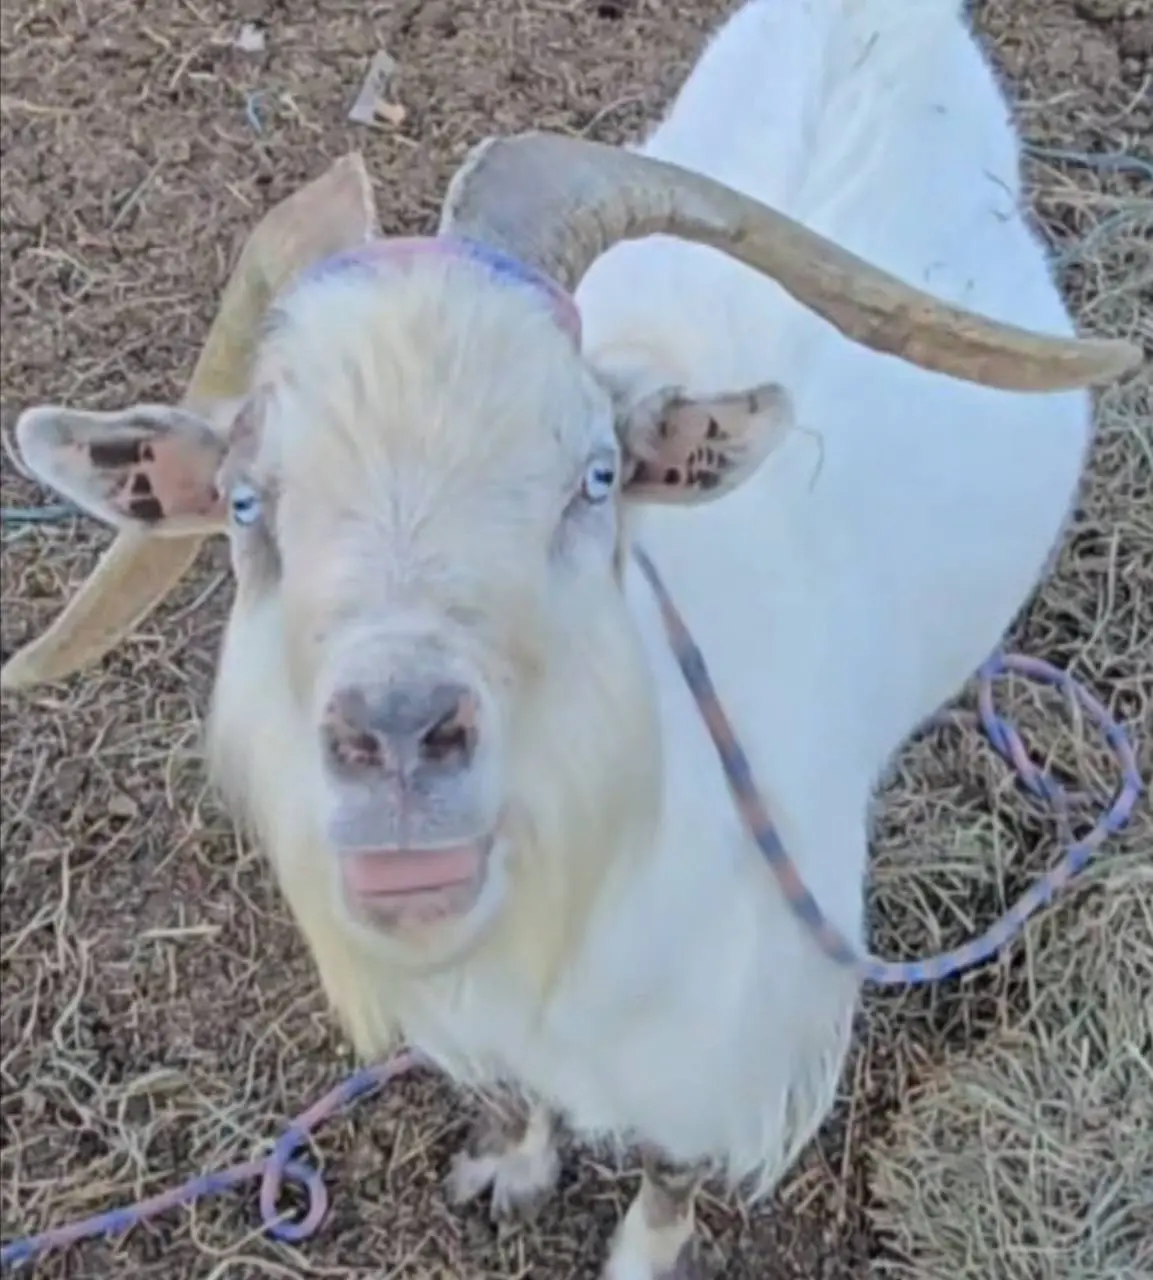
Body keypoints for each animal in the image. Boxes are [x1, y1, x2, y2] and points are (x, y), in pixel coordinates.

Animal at [6, 2, 1141, 1275]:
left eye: (595, 475)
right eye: (247, 504)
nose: (398, 736)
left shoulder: (721, 1059)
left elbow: (669, 1170)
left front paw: (640, 1249)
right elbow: (515, 1098)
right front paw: (511, 1166)